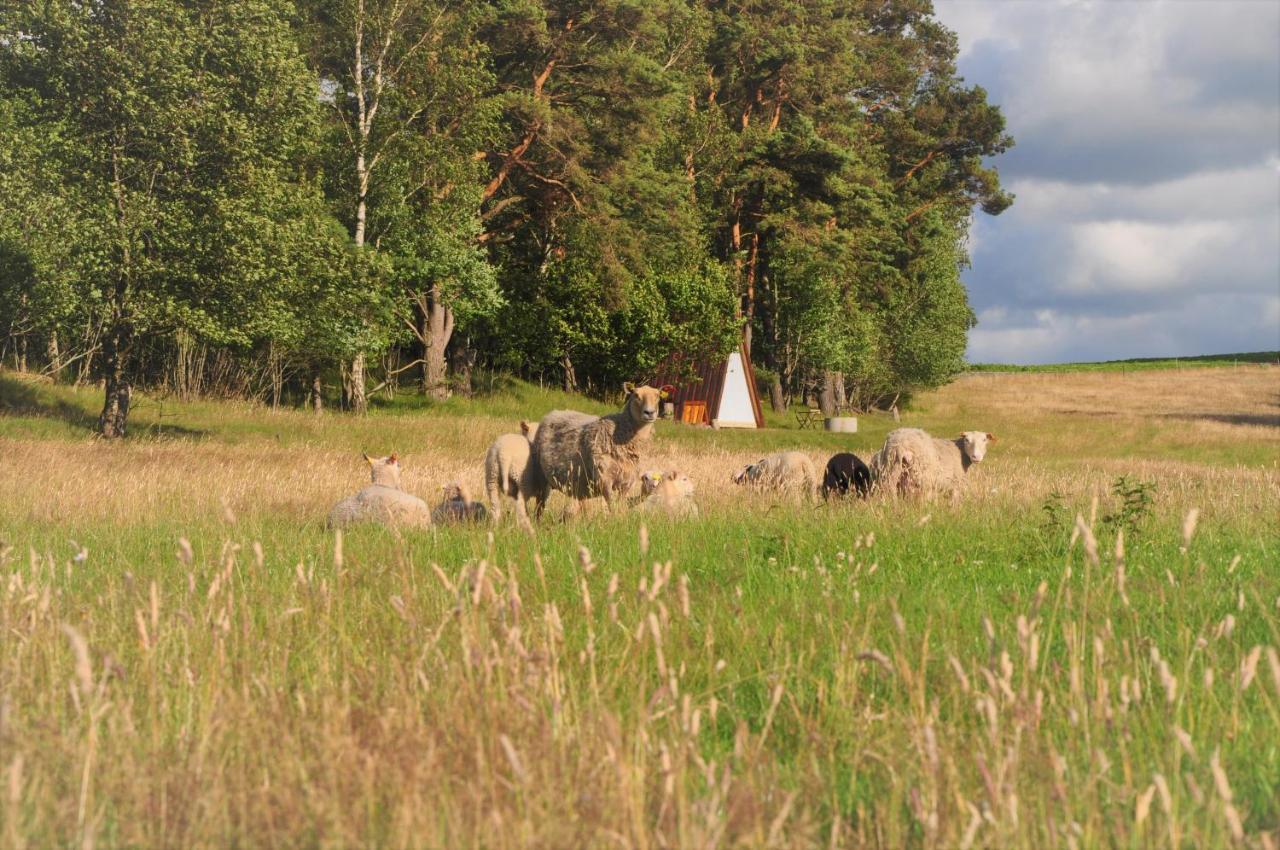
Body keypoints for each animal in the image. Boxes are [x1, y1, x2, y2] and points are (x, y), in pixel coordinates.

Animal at [527, 384, 670, 517]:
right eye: (636, 395)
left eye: (658, 396)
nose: (649, 413)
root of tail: (553, 413)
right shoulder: (604, 478)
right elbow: (611, 505)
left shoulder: (627, 482)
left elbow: (619, 505)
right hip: (542, 478)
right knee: (540, 506)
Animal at [865, 425, 993, 499]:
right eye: (967, 440)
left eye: (984, 440)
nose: (976, 456)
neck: (960, 451)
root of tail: (900, 443)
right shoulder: (955, 485)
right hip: (920, 476)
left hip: (892, 468)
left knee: (889, 488)